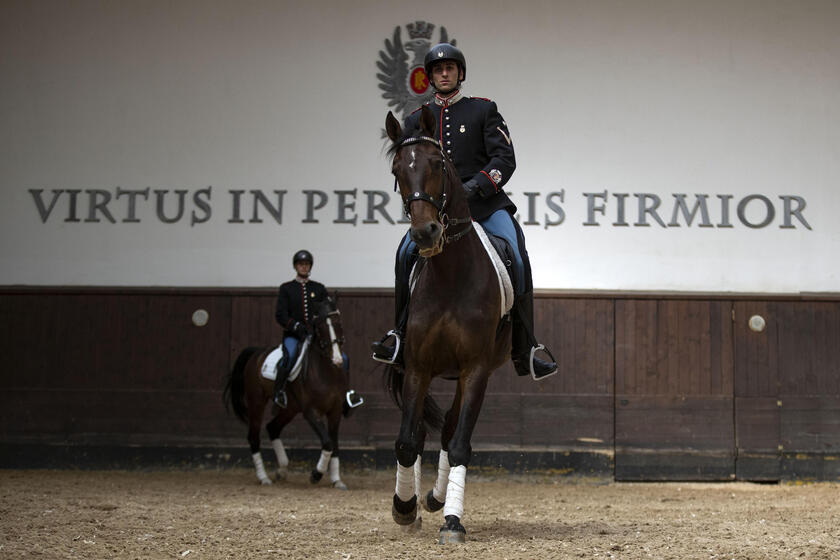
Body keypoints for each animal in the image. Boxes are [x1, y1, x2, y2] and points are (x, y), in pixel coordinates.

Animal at [223, 300, 358, 488]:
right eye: (320, 327)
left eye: (339, 324)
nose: (337, 359)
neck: (327, 371)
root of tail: (257, 352)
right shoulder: (311, 412)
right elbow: (328, 442)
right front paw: (316, 474)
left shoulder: (335, 411)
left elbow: (335, 443)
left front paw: (336, 480)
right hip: (257, 401)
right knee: (254, 436)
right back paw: (264, 477)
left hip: (290, 409)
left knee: (272, 428)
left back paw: (282, 470)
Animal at [382, 105, 512, 544]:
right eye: (397, 170)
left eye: (439, 164)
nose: (426, 232)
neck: (451, 274)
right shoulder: (417, 366)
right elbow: (407, 441)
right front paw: (403, 507)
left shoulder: (475, 369)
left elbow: (458, 444)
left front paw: (452, 519)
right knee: (424, 432)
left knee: (450, 429)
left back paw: (438, 499)